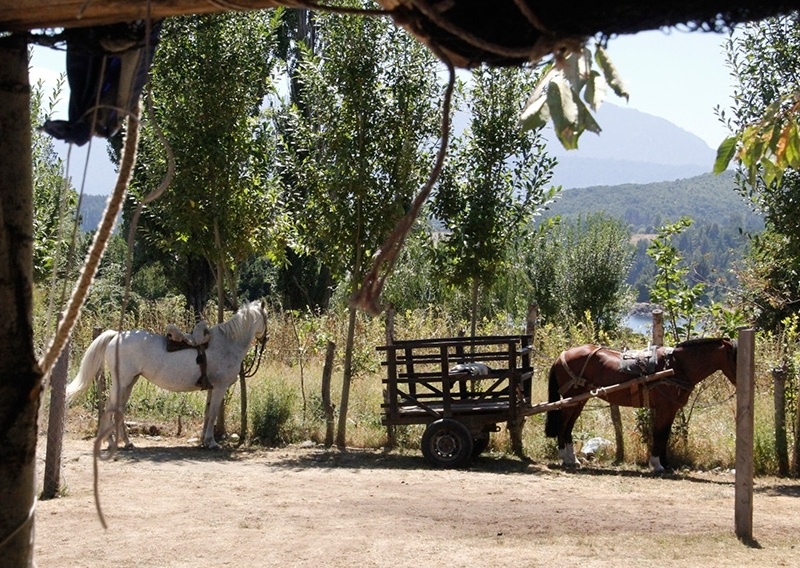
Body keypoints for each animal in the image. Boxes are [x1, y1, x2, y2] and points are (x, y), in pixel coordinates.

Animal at [67, 300, 268, 450]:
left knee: (120, 409)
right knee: (111, 407)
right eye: (266, 317)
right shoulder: (220, 387)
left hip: (130, 382)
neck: (227, 343)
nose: (266, 338)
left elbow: (206, 413)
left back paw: (127, 442)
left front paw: (203, 440)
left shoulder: (212, 388)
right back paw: (110, 442)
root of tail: (116, 336)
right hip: (121, 382)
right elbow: (212, 415)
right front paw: (211, 443)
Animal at [544, 338, 736, 470]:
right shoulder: (665, 408)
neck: (676, 367)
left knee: (568, 427)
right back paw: (566, 458)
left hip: (579, 400)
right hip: (571, 399)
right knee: (563, 426)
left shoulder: (670, 409)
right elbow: (659, 434)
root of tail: (562, 356)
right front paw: (657, 464)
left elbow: (664, 435)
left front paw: (665, 464)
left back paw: (572, 459)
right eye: (735, 357)